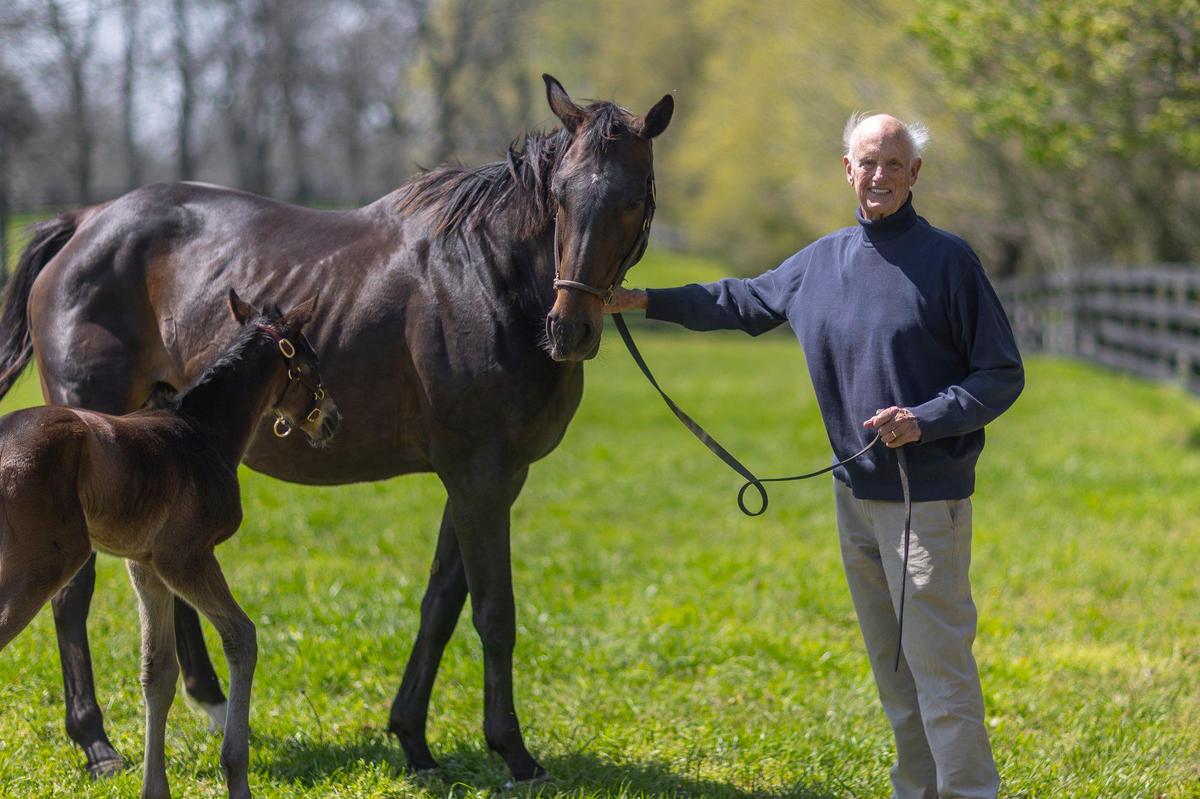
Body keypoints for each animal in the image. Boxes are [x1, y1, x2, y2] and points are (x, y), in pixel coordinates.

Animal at [0, 289, 338, 799]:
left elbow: (158, 671)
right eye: (312, 359)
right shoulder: (186, 557)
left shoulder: (146, 566)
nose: (333, 420)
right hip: (41, 564)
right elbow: (242, 637)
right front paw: (236, 774)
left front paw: (153, 787)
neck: (202, 431)